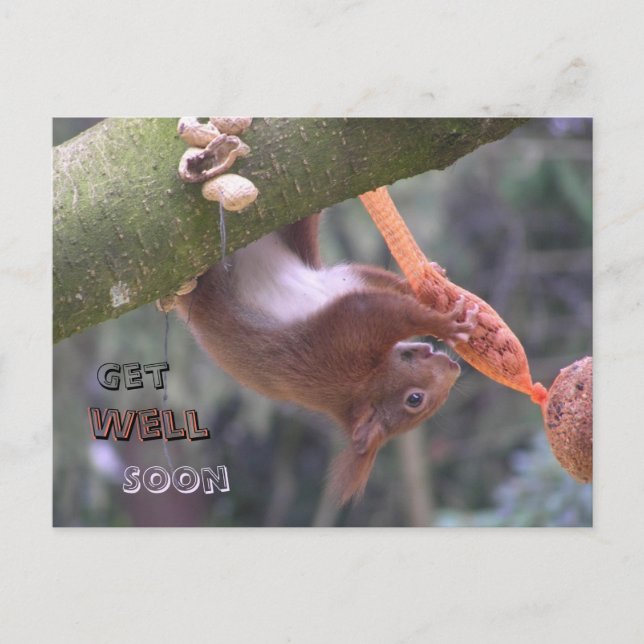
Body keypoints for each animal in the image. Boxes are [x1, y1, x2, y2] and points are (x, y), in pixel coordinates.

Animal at [175, 213, 478, 505]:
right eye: (415, 399)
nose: (453, 369)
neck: (366, 383)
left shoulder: (346, 283)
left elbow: (383, 285)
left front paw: (424, 288)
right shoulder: (347, 342)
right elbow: (394, 311)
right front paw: (445, 325)